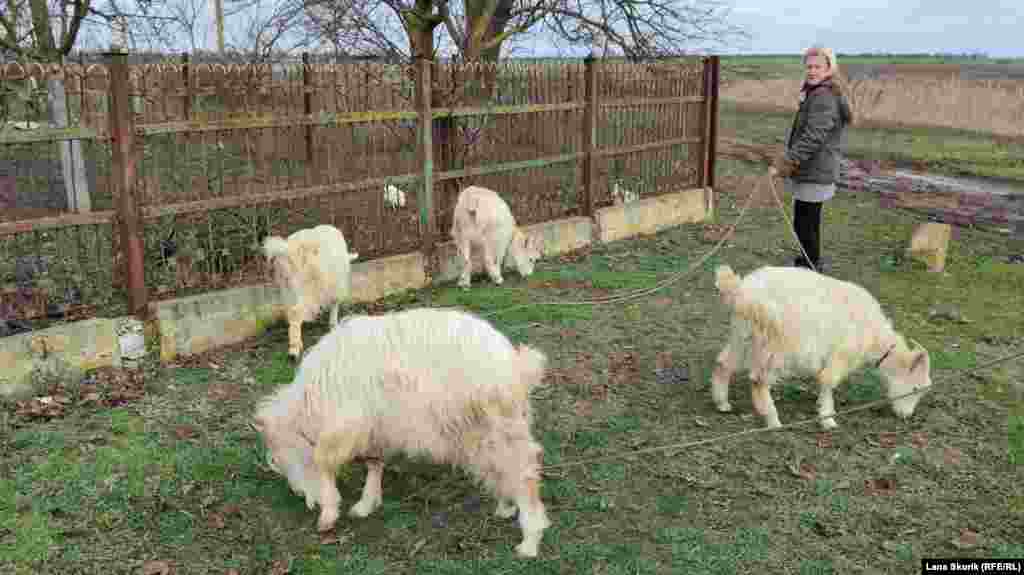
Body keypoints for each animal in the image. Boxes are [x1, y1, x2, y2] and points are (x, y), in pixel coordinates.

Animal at [249, 308, 552, 556]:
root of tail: (513, 364)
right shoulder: (375, 427)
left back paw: (530, 539)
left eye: (286, 457)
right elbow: (374, 463)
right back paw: (505, 506)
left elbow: (324, 463)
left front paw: (328, 513)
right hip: (482, 431)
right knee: (502, 467)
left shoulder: (344, 427)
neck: (311, 404)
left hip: (501, 427)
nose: (302, 497)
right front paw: (366, 503)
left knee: (524, 473)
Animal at [262, 224, 358, 358]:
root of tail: (289, 250)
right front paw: (333, 325)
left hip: (286, 285)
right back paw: (294, 349)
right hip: (307, 286)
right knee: (296, 311)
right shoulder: (335, 286)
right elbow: (335, 303)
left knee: (290, 311)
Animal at [708, 261, 933, 427]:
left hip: (743, 336)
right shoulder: (842, 354)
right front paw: (827, 419)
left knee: (723, 362)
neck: (875, 337)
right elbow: (828, 380)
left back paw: (722, 404)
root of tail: (739, 292)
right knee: (758, 380)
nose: (906, 416)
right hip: (775, 344)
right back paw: (773, 420)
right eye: (915, 388)